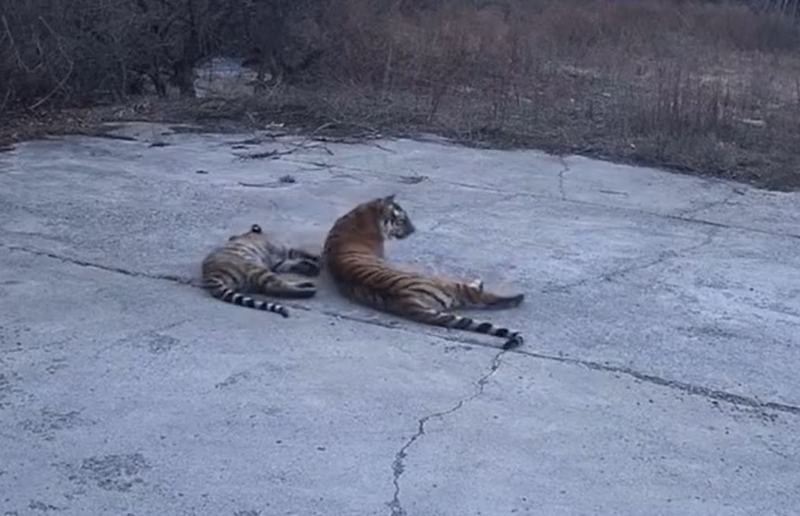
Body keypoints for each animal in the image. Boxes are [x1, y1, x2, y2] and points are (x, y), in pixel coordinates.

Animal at [322, 194, 526, 349]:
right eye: (402, 219)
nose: (413, 230)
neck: (362, 214)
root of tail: (408, 300)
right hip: (446, 283)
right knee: (482, 297)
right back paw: (514, 296)